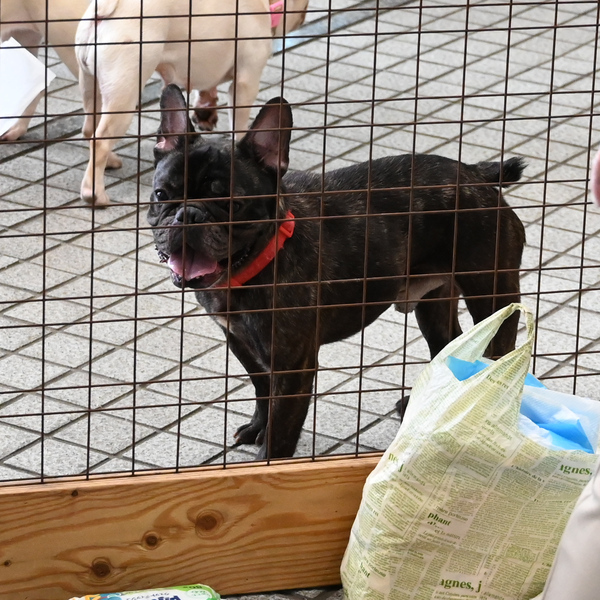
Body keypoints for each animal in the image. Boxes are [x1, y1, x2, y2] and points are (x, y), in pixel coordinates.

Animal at [75, 0, 308, 207]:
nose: (304, 15)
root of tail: (107, 9)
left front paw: (205, 111)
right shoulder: (246, 81)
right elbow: (239, 123)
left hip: (90, 84)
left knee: (90, 127)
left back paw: (109, 161)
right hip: (125, 90)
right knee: (101, 140)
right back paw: (94, 194)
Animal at [148, 84, 526, 460]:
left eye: (234, 205)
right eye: (160, 194)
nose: (188, 215)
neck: (259, 260)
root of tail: (475, 174)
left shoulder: (293, 366)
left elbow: (281, 427)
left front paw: (267, 463)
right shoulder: (241, 344)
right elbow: (261, 388)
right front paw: (258, 427)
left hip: (490, 291)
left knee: (500, 345)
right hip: (433, 301)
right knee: (448, 343)